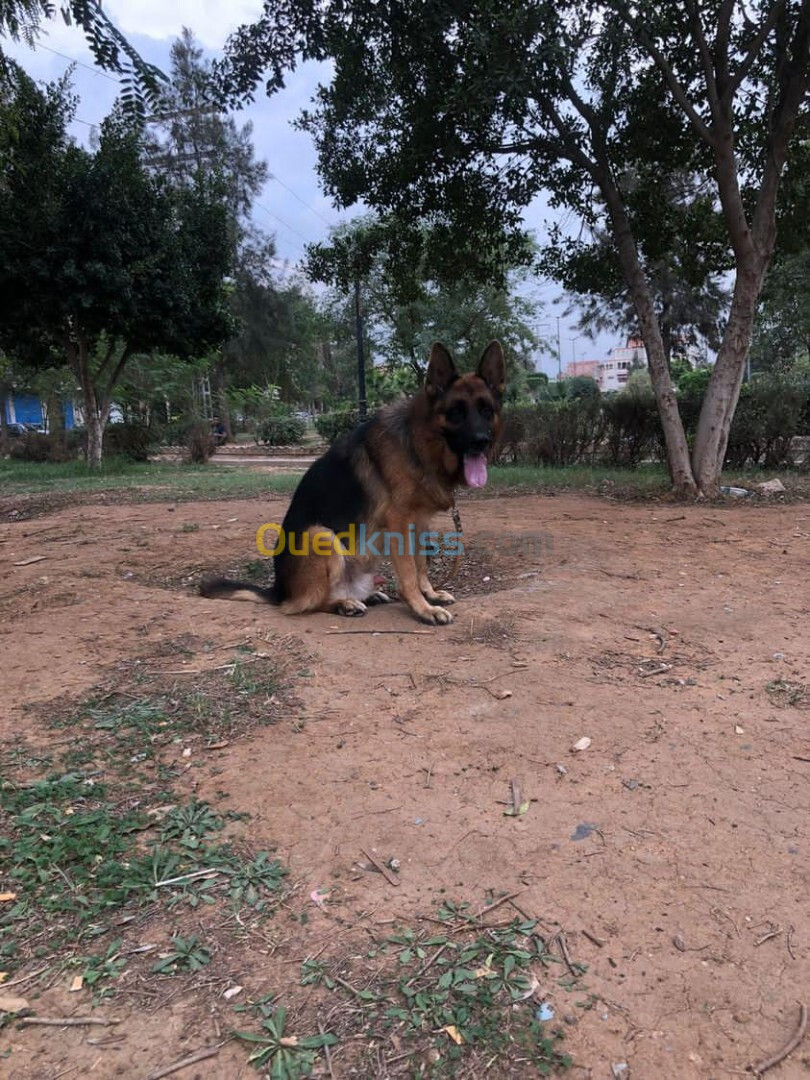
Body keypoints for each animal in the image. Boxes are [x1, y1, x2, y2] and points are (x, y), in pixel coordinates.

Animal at [201, 341, 505, 622]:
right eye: (456, 412)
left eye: (486, 410)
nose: (481, 442)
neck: (417, 442)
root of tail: (279, 590)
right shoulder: (399, 521)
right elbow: (408, 571)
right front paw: (423, 608)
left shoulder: (419, 521)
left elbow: (420, 564)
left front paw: (429, 593)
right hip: (320, 535)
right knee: (308, 604)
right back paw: (343, 604)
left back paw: (366, 595)